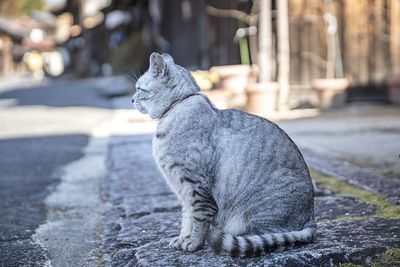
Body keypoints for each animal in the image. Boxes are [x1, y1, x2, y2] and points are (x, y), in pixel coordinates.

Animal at [131, 51, 316, 258]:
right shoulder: (183, 190)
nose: (131, 99)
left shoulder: (195, 186)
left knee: (266, 237)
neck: (177, 108)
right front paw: (182, 238)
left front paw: (193, 243)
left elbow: (199, 219)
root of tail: (311, 220)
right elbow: (186, 219)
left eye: (139, 88)